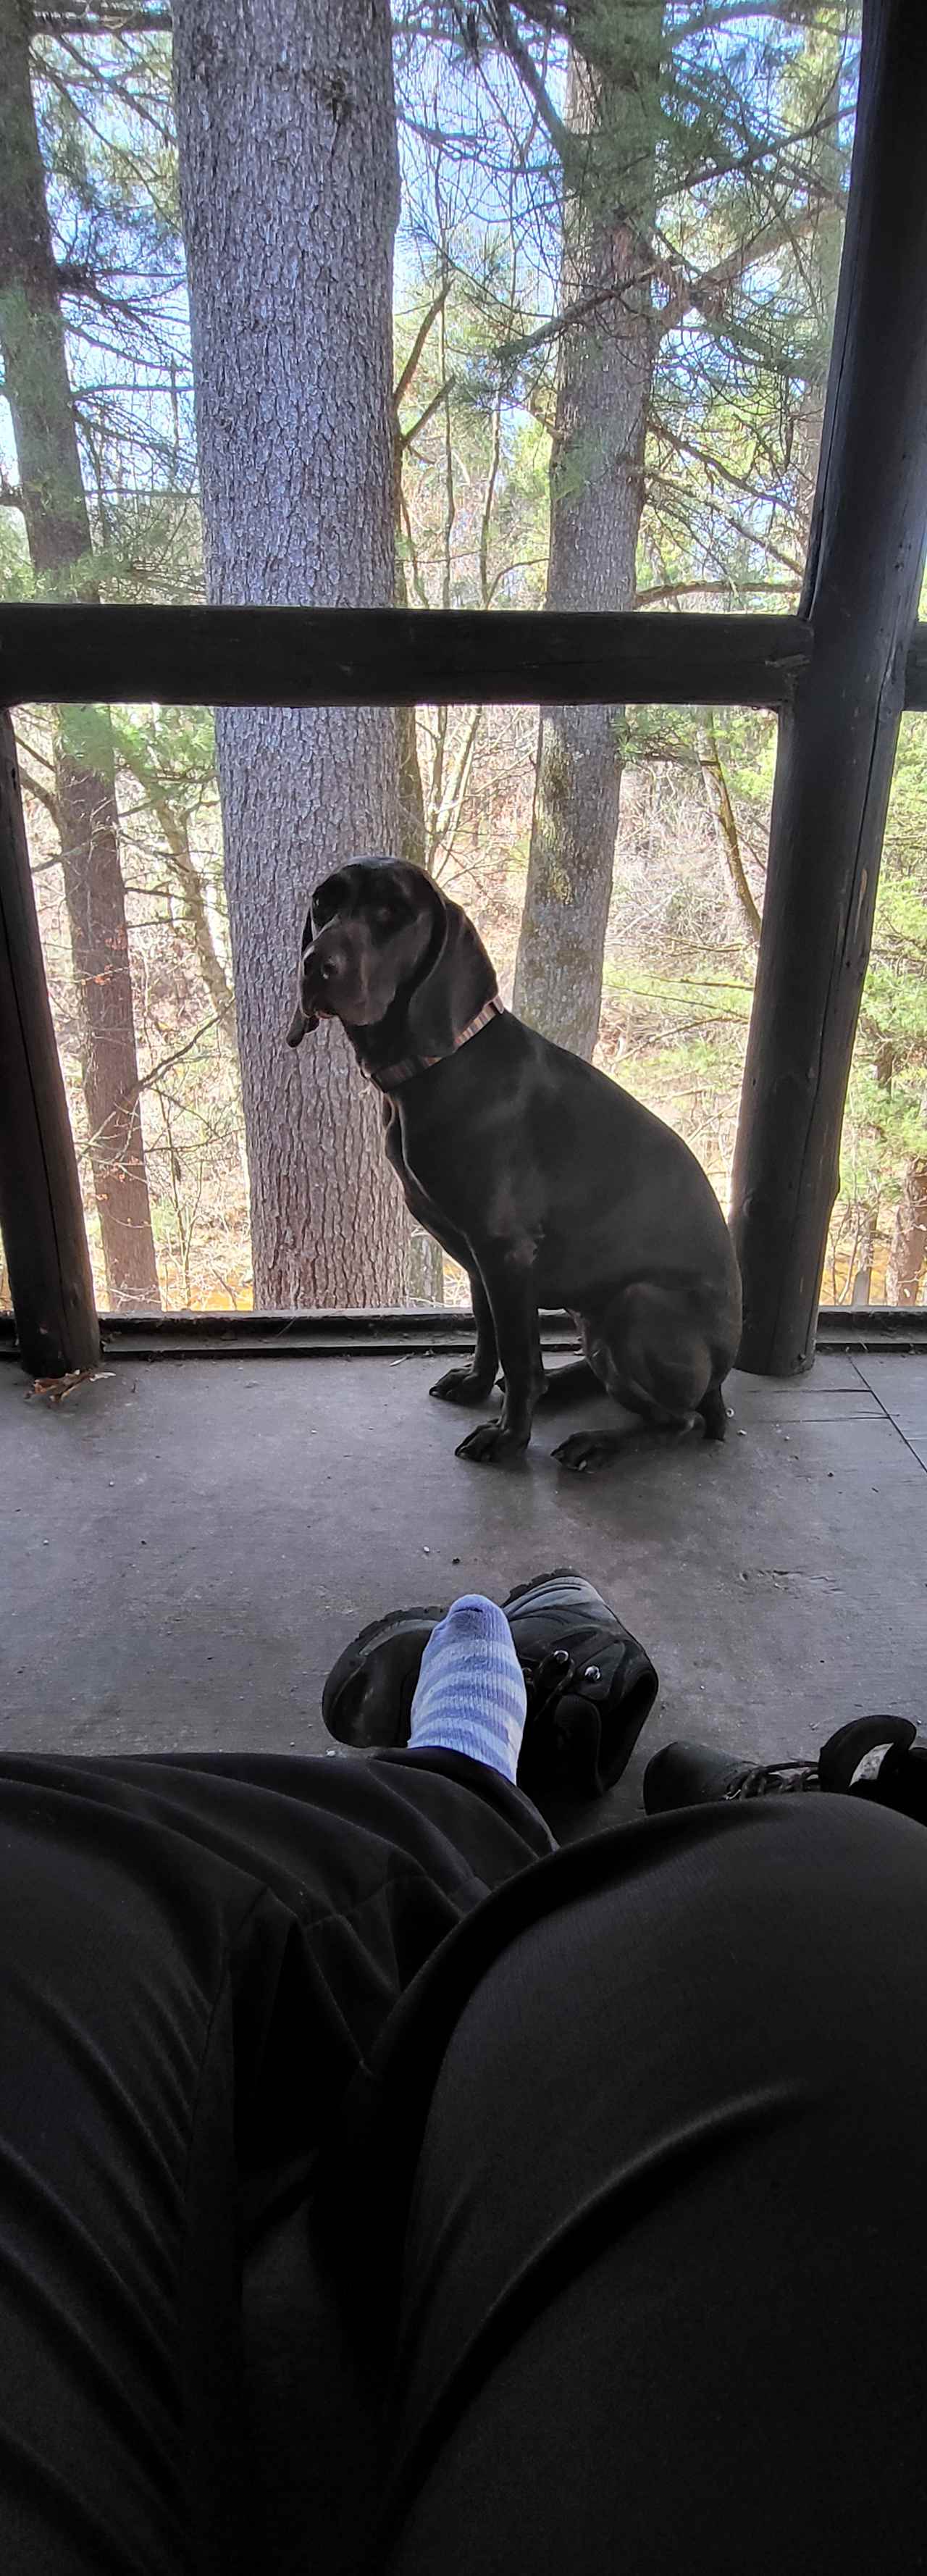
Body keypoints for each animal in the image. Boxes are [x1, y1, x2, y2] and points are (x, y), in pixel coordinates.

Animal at [285, 855, 742, 1473]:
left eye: (391, 912)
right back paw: (564, 1385)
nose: (317, 965)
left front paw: (508, 1436)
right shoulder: (476, 1254)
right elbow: (487, 1331)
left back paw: (598, 1441)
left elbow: (520, 1356)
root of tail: (722, 1373)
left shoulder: (505, 1251)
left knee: (682, 1420)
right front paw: (478, 1384)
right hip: (591, 1316)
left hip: (633, 1305)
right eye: (323, 903)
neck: (438, 1066)